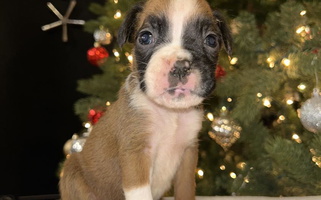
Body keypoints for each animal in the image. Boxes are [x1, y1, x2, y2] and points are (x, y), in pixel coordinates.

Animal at [59, 0, 230, 200]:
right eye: (145, 37)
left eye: (211, 40)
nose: (180, 66)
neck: (170, 112)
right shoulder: (136, 154)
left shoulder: (188, 156)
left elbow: (186, 191)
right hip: (72, 171)